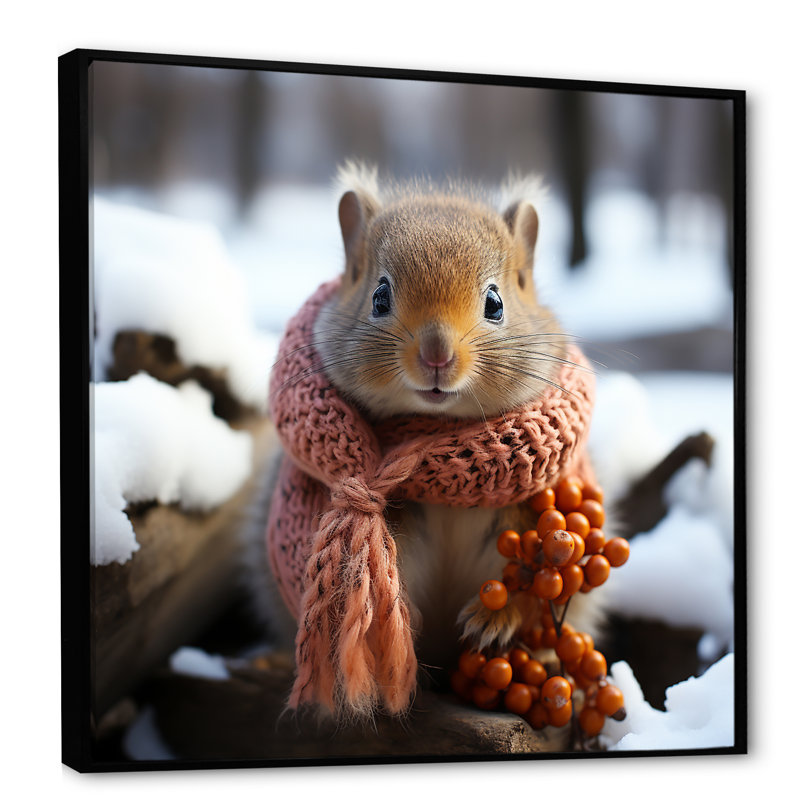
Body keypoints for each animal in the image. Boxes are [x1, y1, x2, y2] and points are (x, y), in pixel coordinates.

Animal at [242, 161, 606, 727]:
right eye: (379, 297)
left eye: (495, 303)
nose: (436, 353)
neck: (435, 431)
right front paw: (390, 622)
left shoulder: (534, 510)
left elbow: (533, 590)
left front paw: (495, 620)